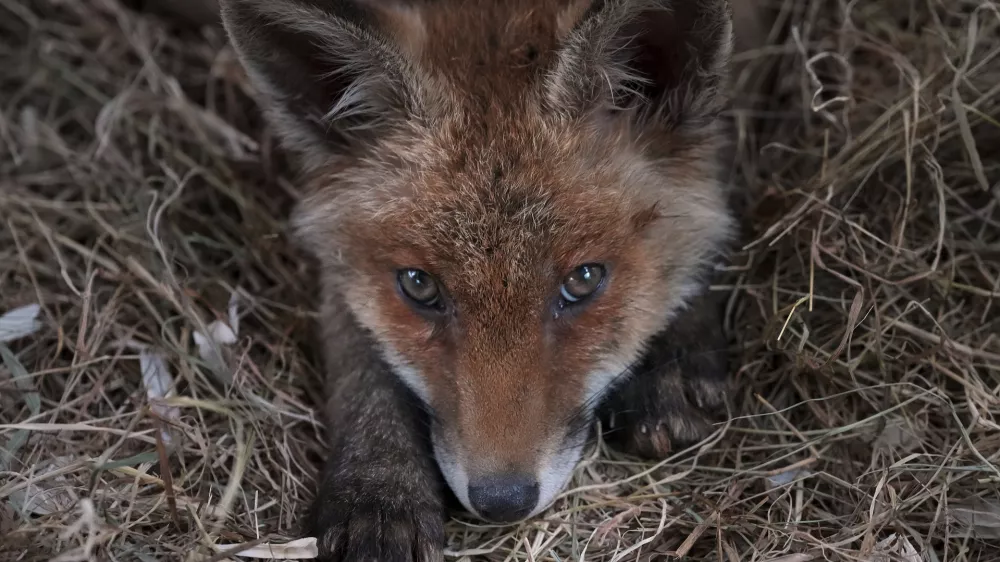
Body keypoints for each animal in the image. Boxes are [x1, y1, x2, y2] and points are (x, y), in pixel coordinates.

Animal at [209, 0, 769, 559]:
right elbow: (361, 362)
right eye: (419, 286)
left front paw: (673, 360)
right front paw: (379, 486)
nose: (502, 500)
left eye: (584, 279)